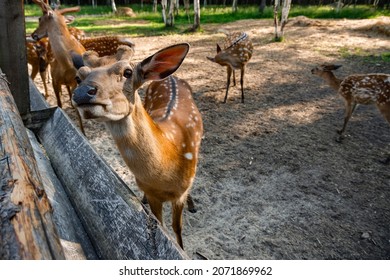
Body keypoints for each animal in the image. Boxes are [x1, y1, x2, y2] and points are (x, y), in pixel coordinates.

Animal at [31, 0, 87, 133]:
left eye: (40, 18)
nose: (33, 34)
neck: (66, 64)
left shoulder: (75, 82)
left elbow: (77, 109)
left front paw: (83, 132)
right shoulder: (55, 80)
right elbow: (59, 104)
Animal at [71, 42, 204, 248]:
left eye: (127, 72)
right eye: (79, 77)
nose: (82, 92)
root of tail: (172, 76)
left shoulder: (179, 194)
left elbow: (177, 229)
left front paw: (182, 248)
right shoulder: (152, 193)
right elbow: (162, 226)